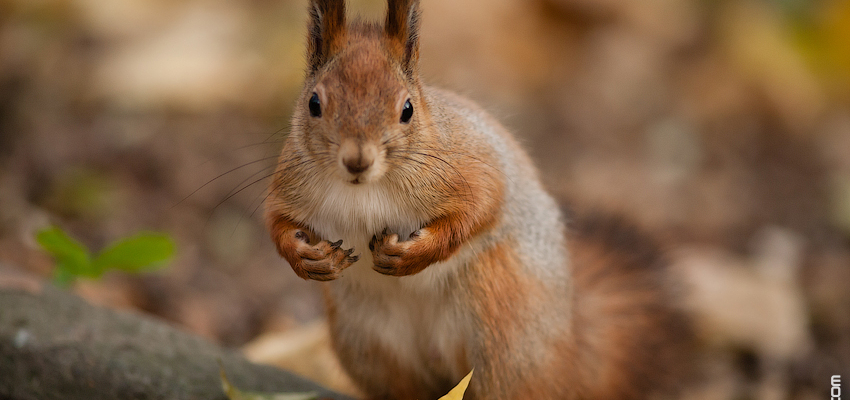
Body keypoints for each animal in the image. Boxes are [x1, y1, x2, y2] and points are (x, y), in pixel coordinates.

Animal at [264, 0, 688, 400]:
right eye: (314, 104)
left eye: (407, 109)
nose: (357, 161)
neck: (363, 190)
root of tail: (571, 348)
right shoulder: (289, 183)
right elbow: (277, 223)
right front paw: (310, 258)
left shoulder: (470, 168)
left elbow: (482, 205)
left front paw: (412, 255)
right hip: (368, 343)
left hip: (502, 322)